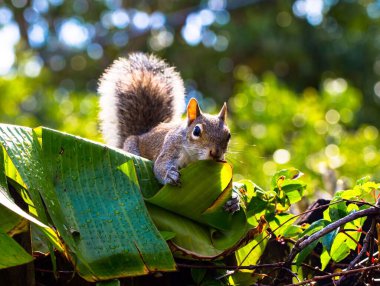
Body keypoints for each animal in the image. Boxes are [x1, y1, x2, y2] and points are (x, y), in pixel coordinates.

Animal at [97, 53, 232, 188]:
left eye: (228, 136)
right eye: (196, 131)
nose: (215, 153)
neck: (193, 157)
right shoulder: (171, 146)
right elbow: (160, 165)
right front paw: (170, 176)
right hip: (131, 145)